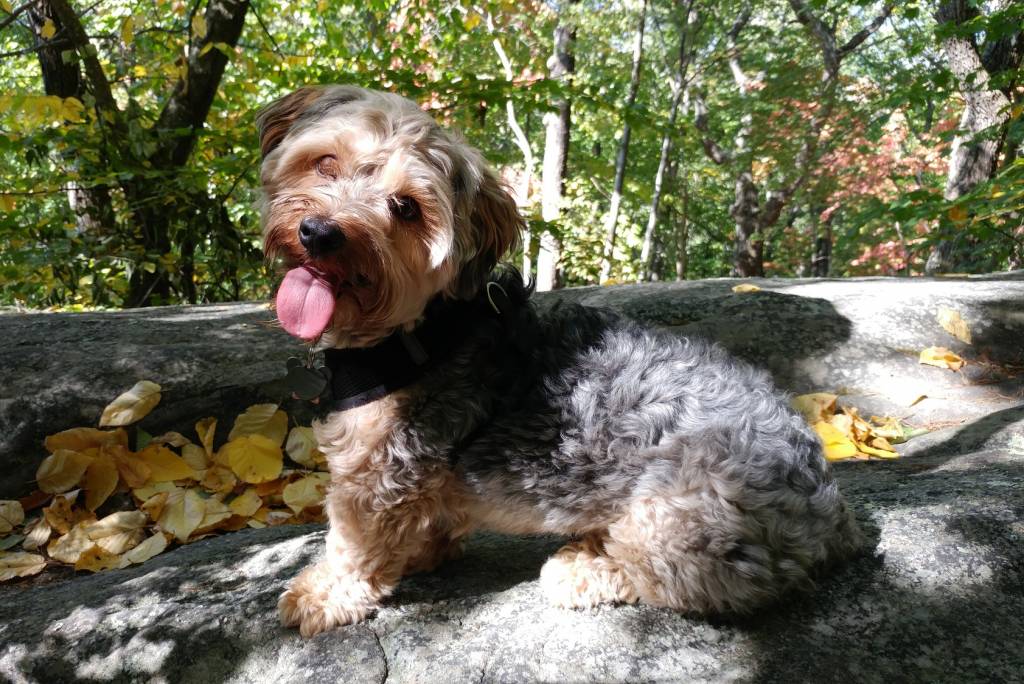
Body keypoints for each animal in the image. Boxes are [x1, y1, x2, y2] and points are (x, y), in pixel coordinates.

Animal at [257, 85, 862, 637]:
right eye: (326, 162)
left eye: (405, 208)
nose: (320, 233)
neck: (425, 329)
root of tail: (832, 514)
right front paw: (424, 551)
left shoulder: (381, 470)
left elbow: (355, 543)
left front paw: (323, 593)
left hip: (677, 518)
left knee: (667, 576)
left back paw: (583, 567)